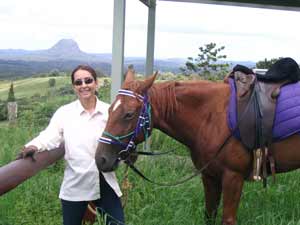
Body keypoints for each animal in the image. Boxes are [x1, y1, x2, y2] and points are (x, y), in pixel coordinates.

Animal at [95, 70, 300, 225]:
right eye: (109, 110)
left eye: (129, 114)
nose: (101, 159)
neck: (212, 116)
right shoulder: (209, 176)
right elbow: (209, 215)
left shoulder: (233, 178)